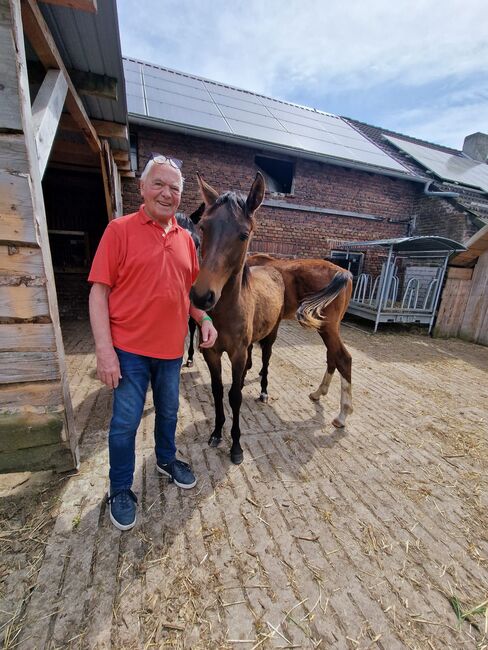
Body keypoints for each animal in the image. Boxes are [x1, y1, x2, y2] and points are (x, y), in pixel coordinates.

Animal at [189, 171, 284, 460]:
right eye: (203, 227)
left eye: (243, 234)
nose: (201, 296)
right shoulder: (211, 352)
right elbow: (219, 390)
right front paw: (217, 433)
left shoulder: (237, 353)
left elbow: (234, 397)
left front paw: (236, 445)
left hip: (271, 337)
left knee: (265, 360)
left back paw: (263, 391)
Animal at [250, 256, 352, 428]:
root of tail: (342, 273)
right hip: (330, 327)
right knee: (332, 356)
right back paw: (318, 392)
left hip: (327, 328)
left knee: (343, 359)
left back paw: (342, 414)